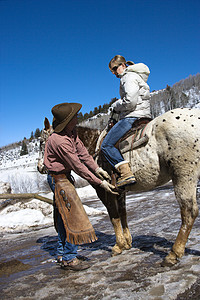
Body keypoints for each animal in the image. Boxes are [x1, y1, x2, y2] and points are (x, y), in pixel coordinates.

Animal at [38, 106, 199, 266]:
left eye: (41, 142)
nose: (40, 167)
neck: (93, 147)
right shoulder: (120, 191)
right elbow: (123, 213)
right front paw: (127, 242)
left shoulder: (106, 191)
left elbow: (113, 216)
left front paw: (118, 245)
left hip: (183, 175)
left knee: (189, 211)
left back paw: (173, 254)